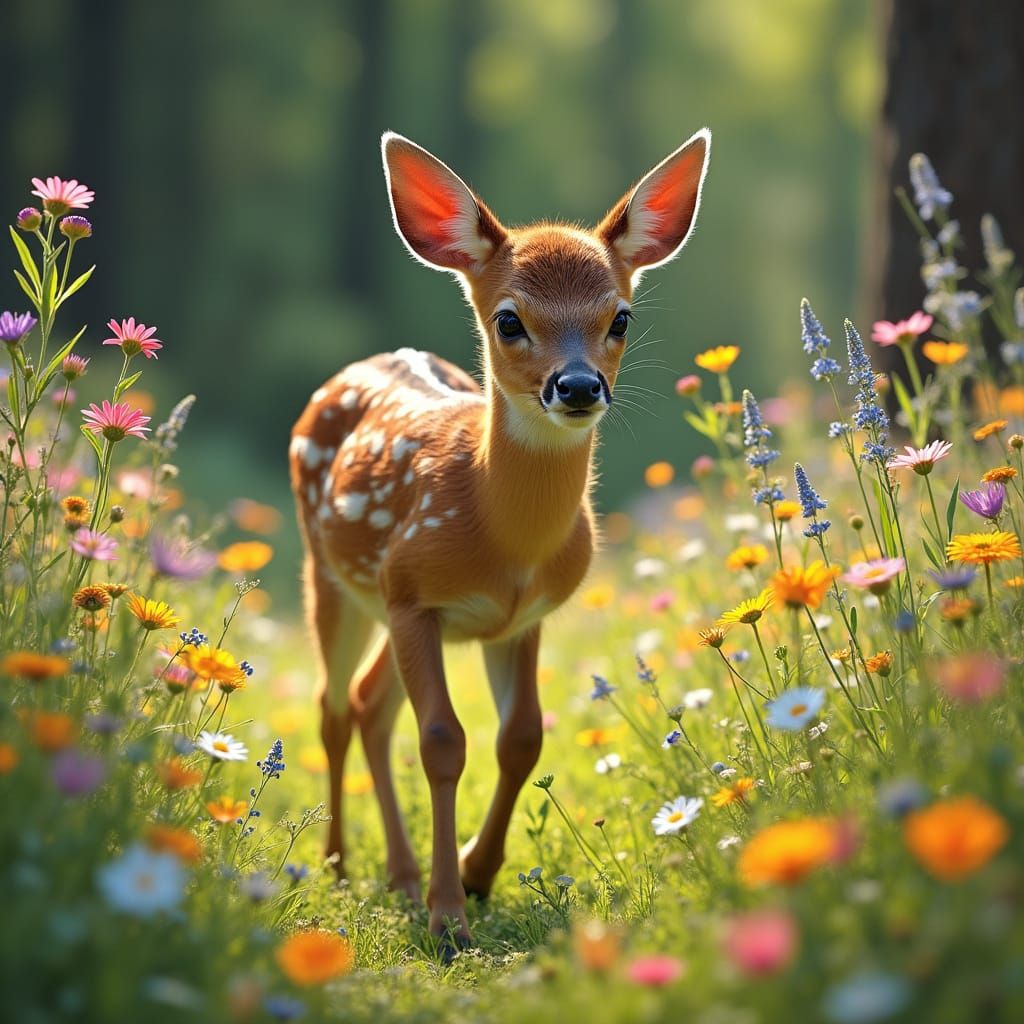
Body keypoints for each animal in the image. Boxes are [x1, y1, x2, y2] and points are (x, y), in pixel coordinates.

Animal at [289, 128, 710, 950]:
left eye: (620, 317)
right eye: (510, 319)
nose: (576, 386)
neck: (497, 530)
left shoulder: (518, 619)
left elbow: (521, 740)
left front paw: (476, 874)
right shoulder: (413, 595)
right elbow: (442, 740)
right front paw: (448, 916)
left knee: (368, 703)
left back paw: (399, 873)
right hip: (332, 573)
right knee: (333, 703)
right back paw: (340, 864)